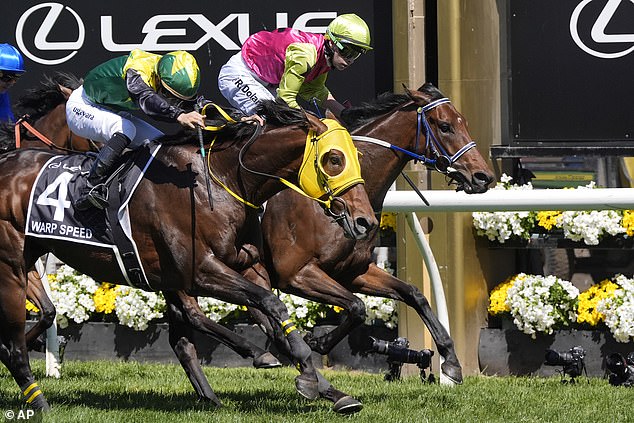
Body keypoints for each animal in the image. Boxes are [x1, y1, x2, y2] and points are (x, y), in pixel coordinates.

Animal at [0, 99, 376, 410]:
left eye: (356, 157)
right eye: (334, 159)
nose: (366, 222)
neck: (221, 179)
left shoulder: (248, 265)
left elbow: (276, 315)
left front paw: (325, 384)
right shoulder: (200, 270)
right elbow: (270, 305)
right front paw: (304, 371)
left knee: (181, 336)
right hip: (12, 267)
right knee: (15, 345)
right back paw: (41, 403)